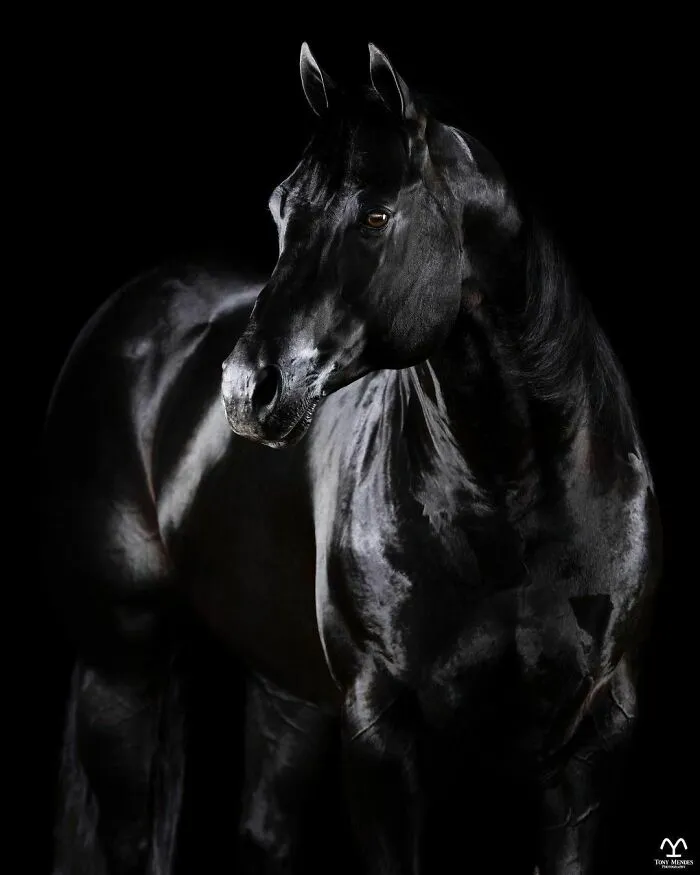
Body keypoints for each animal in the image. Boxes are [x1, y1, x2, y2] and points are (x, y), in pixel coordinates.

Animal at [42, 42, 662, 874]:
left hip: (284, 691)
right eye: (281, 210)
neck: (515, 492)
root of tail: (127, 312)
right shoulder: (381, 734)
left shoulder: (594, 739)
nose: (246, 390)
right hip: (122, 662)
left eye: (375, 216)